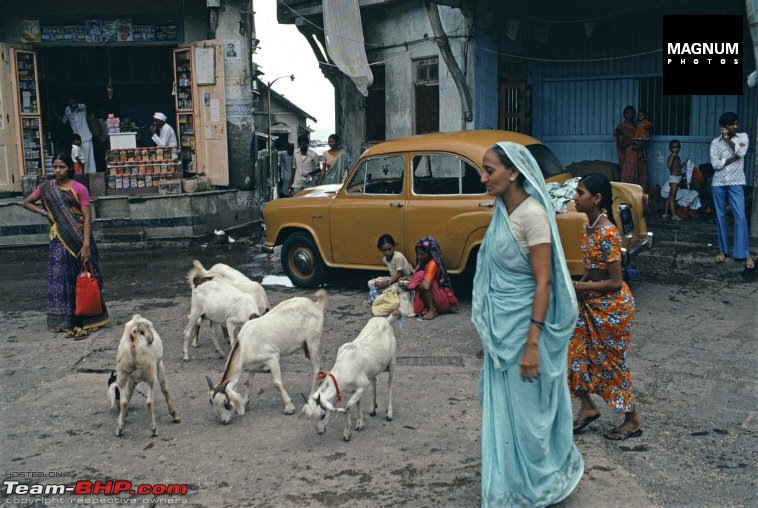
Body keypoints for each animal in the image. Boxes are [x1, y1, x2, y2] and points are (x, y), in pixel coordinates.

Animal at [206, 290, 328, 424]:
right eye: (211, 402)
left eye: (226, 403)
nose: (223, 421)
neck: (244, 345)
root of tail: (316, 305)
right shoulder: (252, 366)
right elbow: (249, 383)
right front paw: (245, 403)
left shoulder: (272, 358)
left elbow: (277, 383)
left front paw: (289, 407)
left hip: (313, 341)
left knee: (316, 367)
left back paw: (312, 395)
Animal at [302, 310, 400, 440]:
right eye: (310, 417)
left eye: (322, 415)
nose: (320, 432)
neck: (343, 369)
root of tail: (385, 320)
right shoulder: (356, 388)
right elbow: (357, 403)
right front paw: (360, 423)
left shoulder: (362, 385)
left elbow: (349, 406)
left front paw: (347, 433)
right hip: (372, 369)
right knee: (374, 381)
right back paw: (373, 409)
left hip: (393, 360)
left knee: (390, 385)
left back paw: (389, 413)